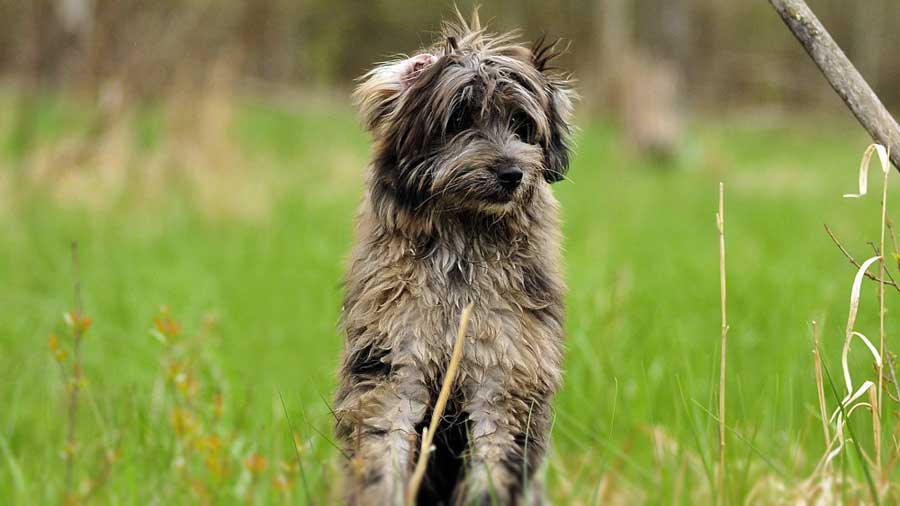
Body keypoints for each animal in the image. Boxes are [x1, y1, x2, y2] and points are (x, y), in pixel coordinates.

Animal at [334, 11, 572, 506]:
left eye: (522, 125)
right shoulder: (392, 363)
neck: (463, 246)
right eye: (459, 118)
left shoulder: (507, 374)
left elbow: (494, 462)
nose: (510, 173)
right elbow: (383, 450)